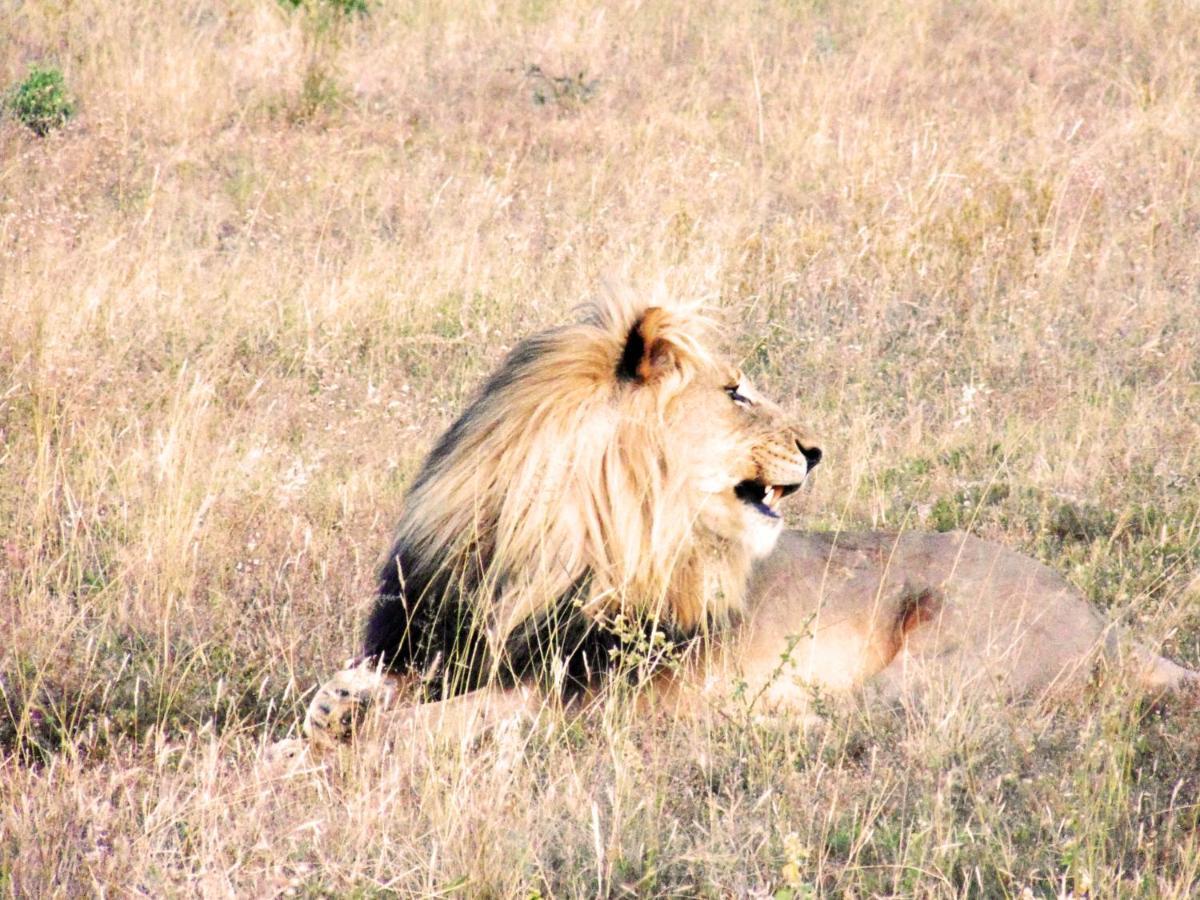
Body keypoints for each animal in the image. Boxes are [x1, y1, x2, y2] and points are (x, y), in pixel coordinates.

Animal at [295, 292, 1195, 748]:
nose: (816, 449)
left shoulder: (586, 694)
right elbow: (357, 694)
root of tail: (1111, 629)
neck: (548, 534)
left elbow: (443, 719)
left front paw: (350, 734)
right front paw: (329, 713)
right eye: (736, 393)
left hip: (947, 660)